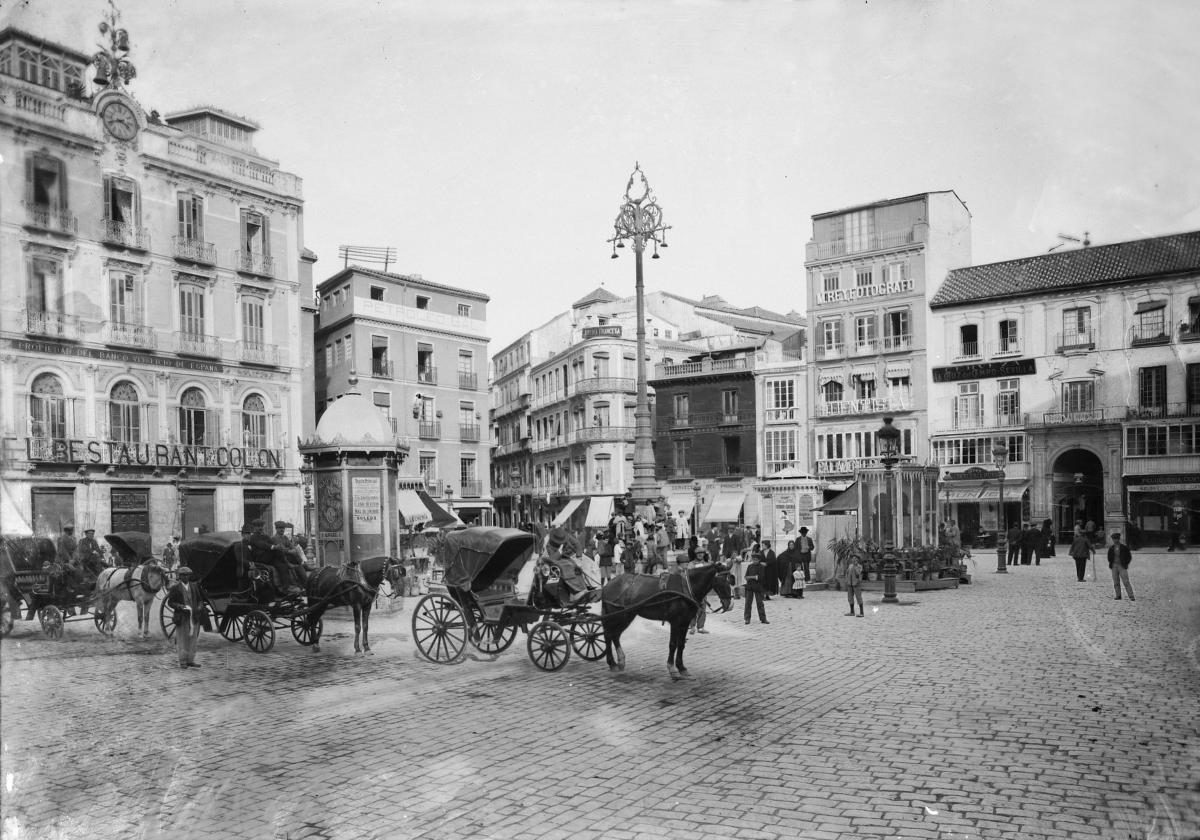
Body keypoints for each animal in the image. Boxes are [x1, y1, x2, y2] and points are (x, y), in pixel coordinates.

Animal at [600, 561, 729, 681]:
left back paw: (620, 661)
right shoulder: (675, 622)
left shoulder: (685, 622)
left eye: (731, 579)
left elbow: (681, 644)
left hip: (627, 615)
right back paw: (612, 663)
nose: (729, 604)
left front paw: (682, 667)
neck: (686, 587)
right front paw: (672, 669)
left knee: (615, 635)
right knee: (608, 635)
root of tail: (607, 585)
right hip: (617, 615)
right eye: (722, 580)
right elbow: (673, 644)